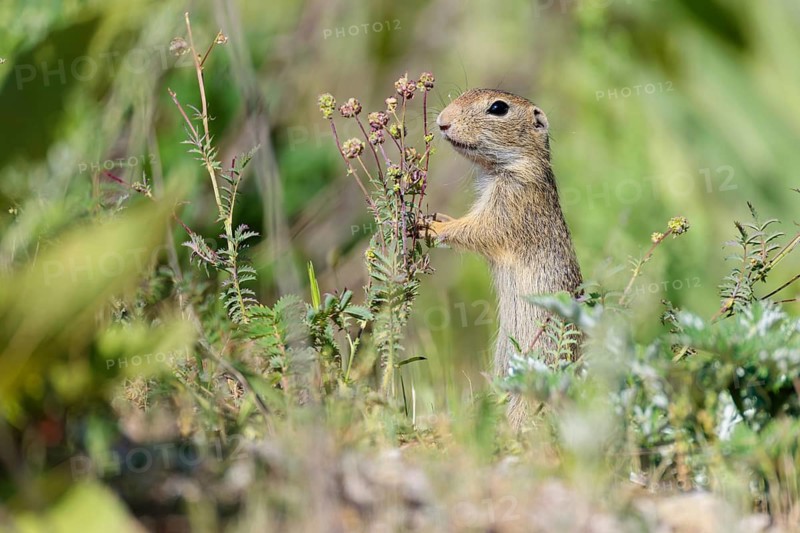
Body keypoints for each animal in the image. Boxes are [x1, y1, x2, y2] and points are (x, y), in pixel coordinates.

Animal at [426, 88, 582, 428]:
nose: (442, 121)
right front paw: (437, 216)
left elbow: (478, 229)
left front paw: (430, 226)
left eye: (498, 108)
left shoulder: (510, 204)